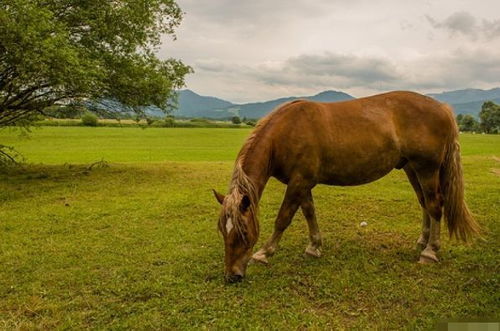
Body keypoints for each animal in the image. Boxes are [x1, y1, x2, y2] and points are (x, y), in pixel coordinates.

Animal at [212, 91, 480, 282]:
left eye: (243, 232)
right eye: (223, 231)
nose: (232, 276)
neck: (286, 131)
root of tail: (442, 108)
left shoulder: (298, 183)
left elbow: (283, 218)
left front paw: (264, 253)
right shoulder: (303, 183)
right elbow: (309, 213)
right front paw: (314, 247)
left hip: (426, 169)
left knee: (435, 206)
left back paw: (430, 252)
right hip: (412, 169)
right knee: (425, 204)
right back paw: (422, 242)